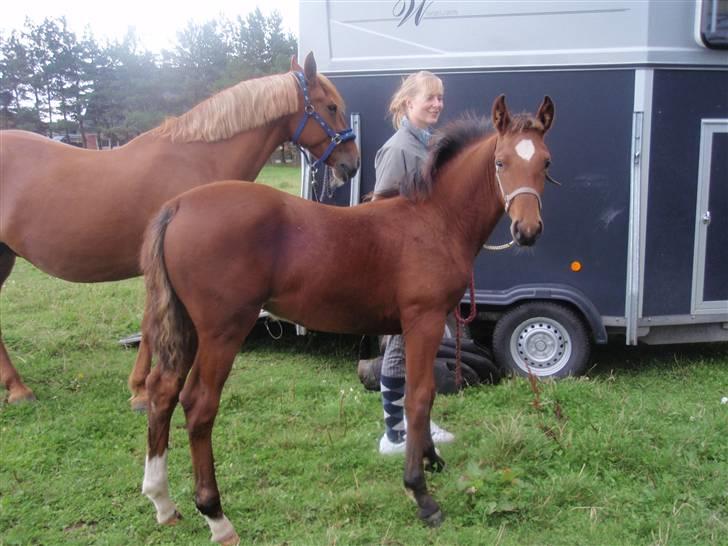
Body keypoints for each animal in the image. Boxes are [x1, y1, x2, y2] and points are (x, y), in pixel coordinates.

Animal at [0, 53, 358, 406]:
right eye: (331, 107)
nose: (351, 164)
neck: (195, 158)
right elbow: (151, 325)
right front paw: (142, 391)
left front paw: (139, 387)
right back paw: (19, 389)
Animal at [139, 94, 556, 540]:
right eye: (500, 162)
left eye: (545, 161)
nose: (527, 230)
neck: (434, 220)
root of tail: (178, 205)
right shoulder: (424, 320)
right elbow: (419, 396)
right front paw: (421, 495)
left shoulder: (412, 326)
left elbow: (417, 391)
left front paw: (430, 459)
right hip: (223, 330)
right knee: (199, 405)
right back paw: (216, 516)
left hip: (186, 327)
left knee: (162, 392)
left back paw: (163, 501)